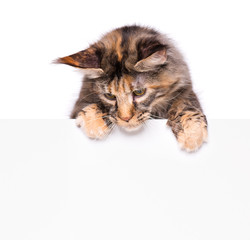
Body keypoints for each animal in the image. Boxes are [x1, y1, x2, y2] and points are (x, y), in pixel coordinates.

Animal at [56, 24, 207, 152]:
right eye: (110, 96)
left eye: (139, 92)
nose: (126, 119)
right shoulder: (81, 101)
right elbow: (92, 106)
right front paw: (95, 124)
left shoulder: (185, 90)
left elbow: (185, 105)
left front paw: (192, 134)